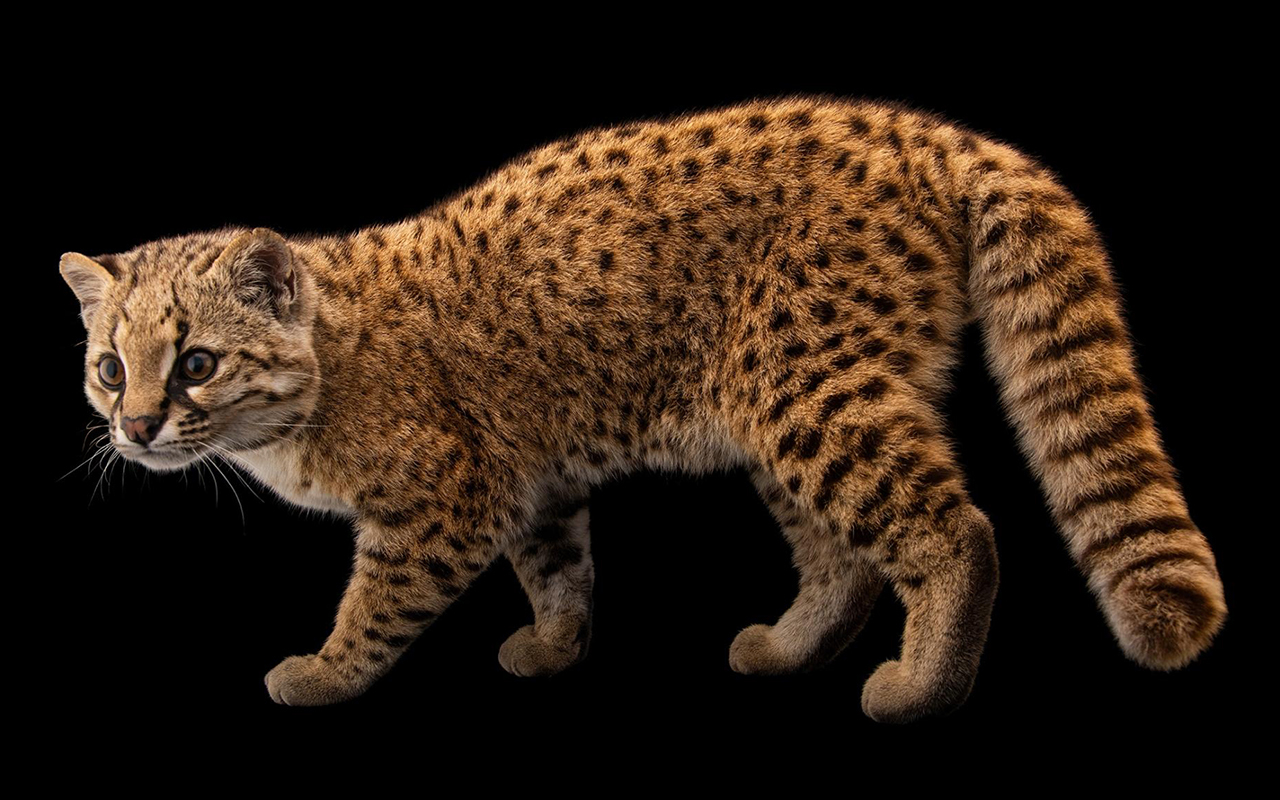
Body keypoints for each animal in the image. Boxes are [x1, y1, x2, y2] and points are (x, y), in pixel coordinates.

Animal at [62, 95, 1228, 721]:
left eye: (197, 361)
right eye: (109, 368)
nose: (134, 428)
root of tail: (930, 134)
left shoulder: (440, 503)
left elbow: (375, 603)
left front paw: (322, 671)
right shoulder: (529, 482)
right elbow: (558, 568)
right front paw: (554, 647)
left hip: (811, 389)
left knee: (954, 531)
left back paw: (918, 687)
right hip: (778, 409)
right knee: (839, 556)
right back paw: (786, 650)